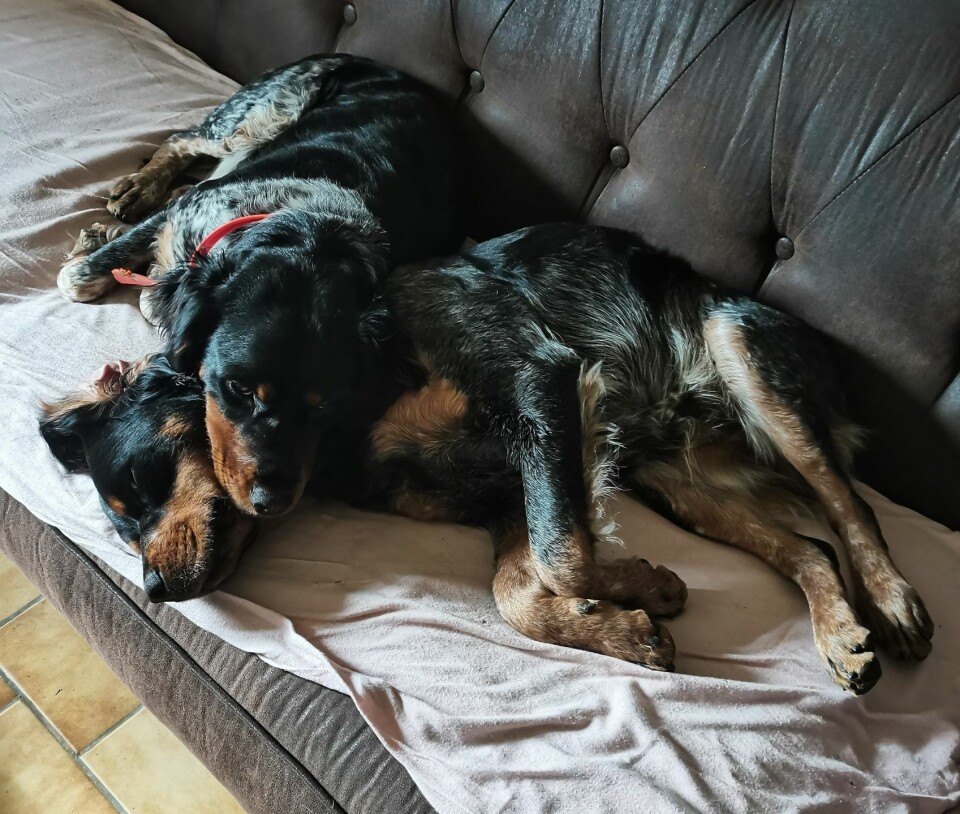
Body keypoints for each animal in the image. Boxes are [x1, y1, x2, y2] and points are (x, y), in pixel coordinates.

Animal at [55, 54, 462, 520]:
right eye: (238, 390)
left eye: (325, 406)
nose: (273, 502)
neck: (308, 226)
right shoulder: (187, 212)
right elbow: (77, 281)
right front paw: (106, 247)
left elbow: (147, 293)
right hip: (256, 115)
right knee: (182, 141)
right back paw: (138, 188)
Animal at [344, 223, 928, 696]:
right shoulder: (504, 492)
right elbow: (516, 591)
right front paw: (622, 629)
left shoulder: (542, 383)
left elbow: (564, 563)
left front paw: (645, 589)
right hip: (672, 480)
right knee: (811, 548)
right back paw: (840, 634)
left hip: (739, 343)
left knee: (850, 506)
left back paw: (891, 601)